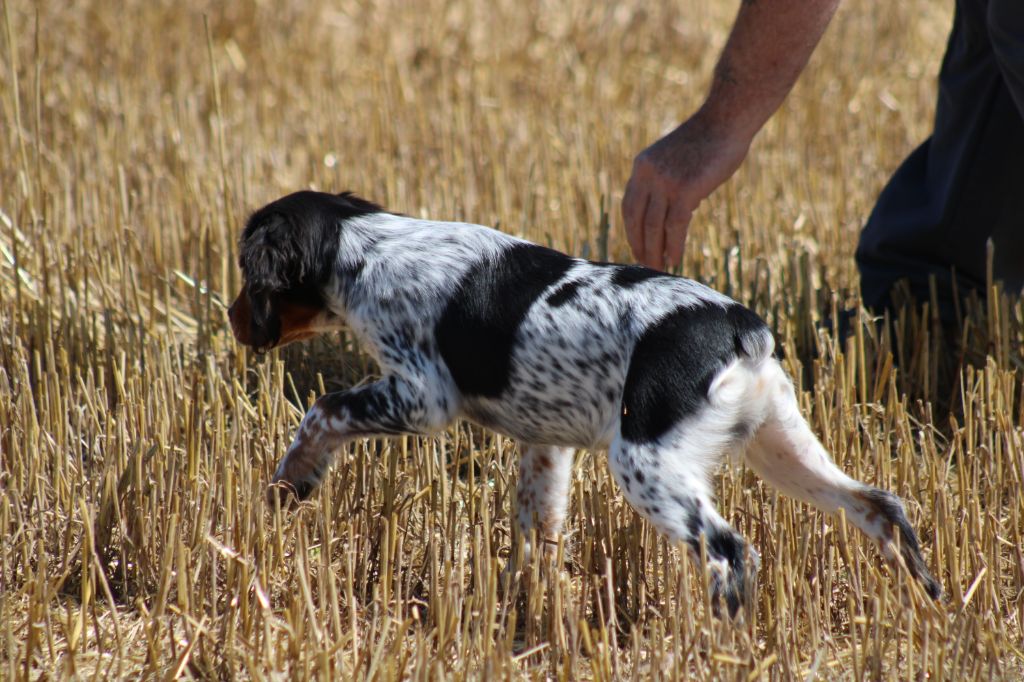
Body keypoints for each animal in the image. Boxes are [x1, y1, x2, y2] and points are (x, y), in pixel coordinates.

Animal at [230, 189, 942, 610]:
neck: (368, 244)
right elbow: (536, 531)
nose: (233, 319)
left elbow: (321, 410)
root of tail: (742, 329)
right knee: (879, 505)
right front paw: (532, 611)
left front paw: (290, 483)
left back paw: (723, 644)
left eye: (245, 277)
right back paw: (929, 603)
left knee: (727, 551)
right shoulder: (545, 447)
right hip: (780, 446)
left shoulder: (420, 394)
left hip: (647, 461)